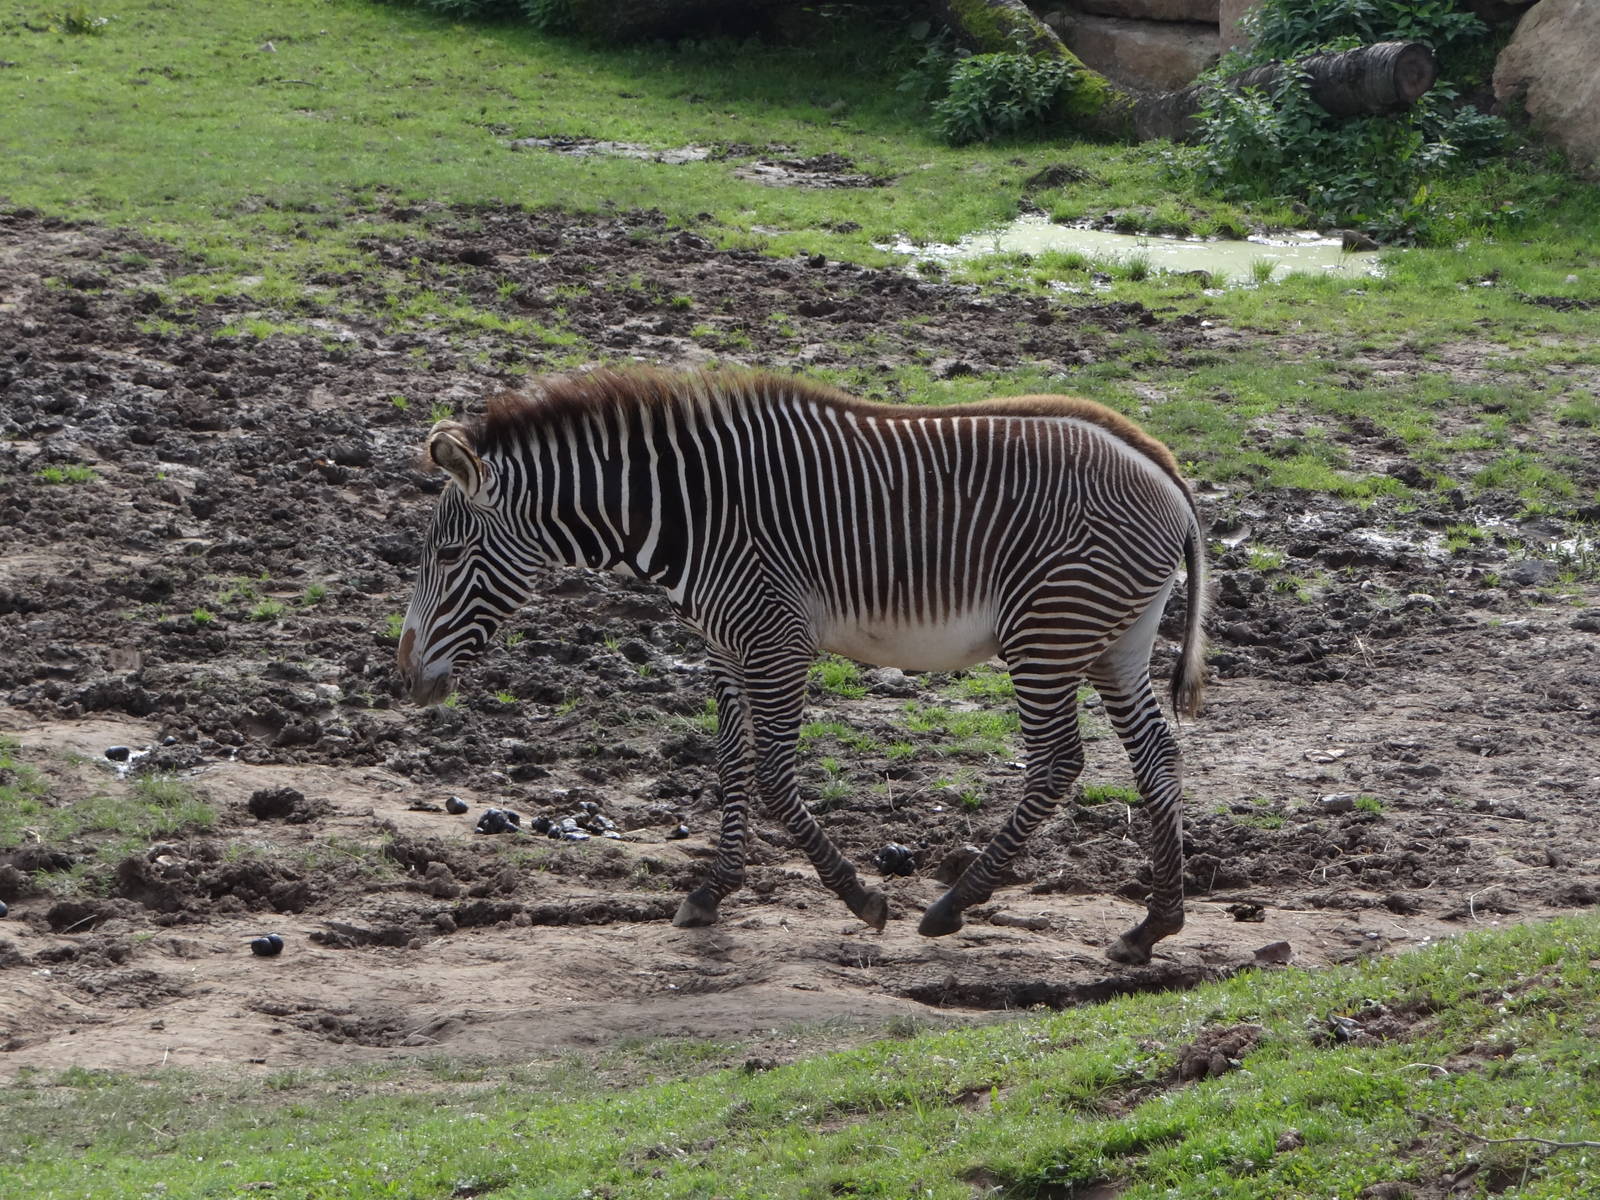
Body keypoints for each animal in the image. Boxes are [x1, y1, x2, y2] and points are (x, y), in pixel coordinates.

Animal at [397, 368, 1208, 965]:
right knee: (1156, 753)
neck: (690, 513)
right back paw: (1152, 926)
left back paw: (954, 904)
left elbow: (774, 778)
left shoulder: (777, 641)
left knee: (1058, 762)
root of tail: (1168, 472)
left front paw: (861, 897)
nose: (405, 673)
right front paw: (712, 891)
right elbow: (730, 765)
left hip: (1047, 632)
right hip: (1114, 639)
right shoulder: (723, 646)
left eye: (448, 555)